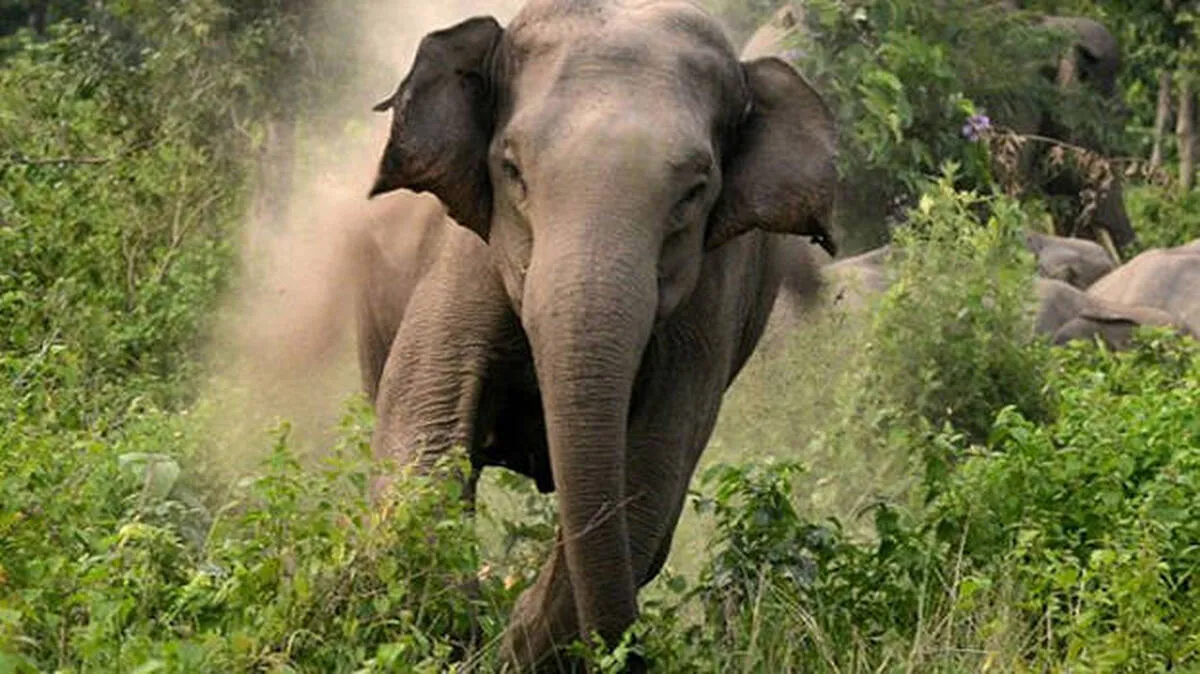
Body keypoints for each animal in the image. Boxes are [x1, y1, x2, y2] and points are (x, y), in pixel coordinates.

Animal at [364, 1, 837, 669]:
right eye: (512, 170)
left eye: (694, 192)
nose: (633, 654)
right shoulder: (464, 256)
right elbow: (422, 429)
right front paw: (460, 634)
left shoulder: (709, 305)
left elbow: (648, 482)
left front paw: (508, 647)